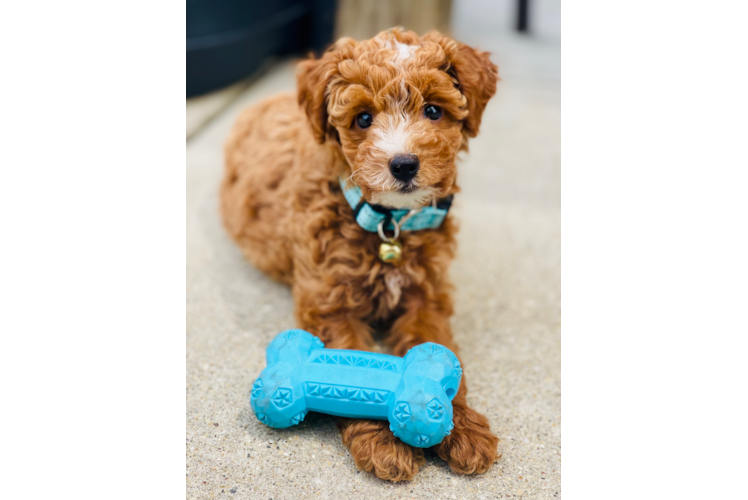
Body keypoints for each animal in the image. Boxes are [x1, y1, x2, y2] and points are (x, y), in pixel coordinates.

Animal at [224, 27, 502, 480]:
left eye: (433, 110)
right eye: (363, 119)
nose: (403, 164)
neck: (389, 224)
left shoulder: (427, 297)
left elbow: (438, 357)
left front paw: (461, 427)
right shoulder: (329, 301)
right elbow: (353, 368)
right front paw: (383, 440)